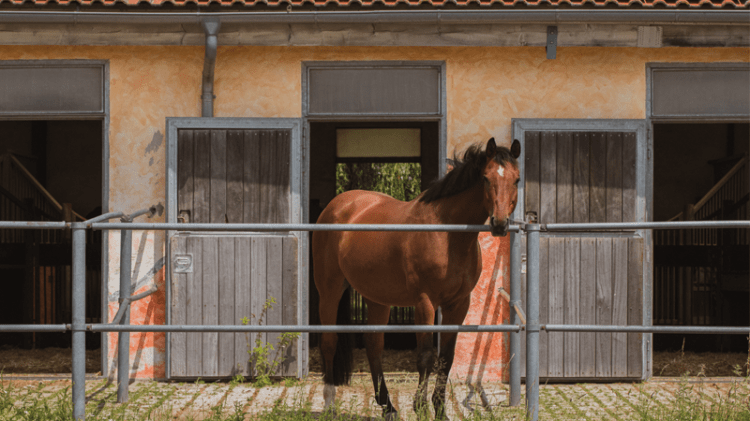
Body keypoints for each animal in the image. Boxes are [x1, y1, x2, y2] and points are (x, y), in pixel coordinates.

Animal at [312, 138, 521, 420]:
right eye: (486, 178)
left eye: (517, 179)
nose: (500, 224)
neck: (447, 233)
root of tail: (336, 206)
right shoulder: (425, 303)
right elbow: (425, 356)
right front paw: (421, 407)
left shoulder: (458, 304)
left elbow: (446, 357)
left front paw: (440, 409)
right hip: (330, 289)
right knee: (329, 342)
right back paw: (330, 404)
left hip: (377, 297)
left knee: (373, 344)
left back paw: (388, 406)